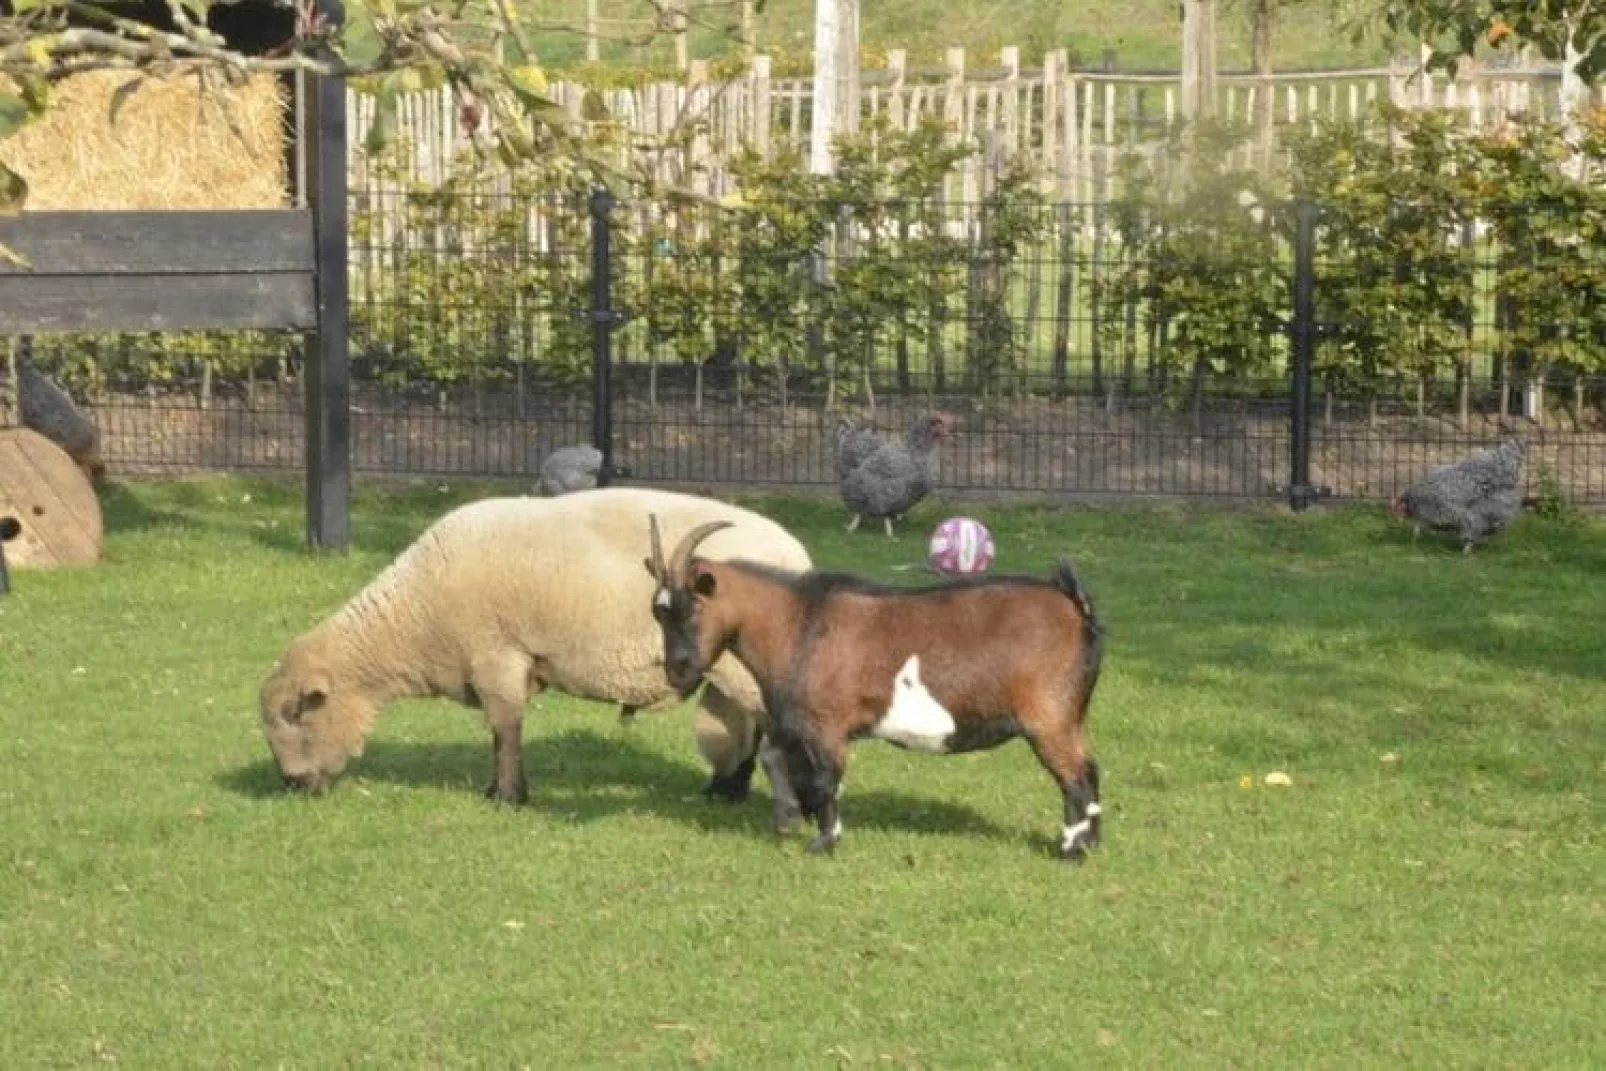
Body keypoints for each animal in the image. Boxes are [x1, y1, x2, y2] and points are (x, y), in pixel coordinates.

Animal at [264, 488, 815, 812]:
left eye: (296, 714)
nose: (292, 786)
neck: (414, 616)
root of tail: (799, 556)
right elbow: (501, 731)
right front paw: (500, 790)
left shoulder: (498, 653)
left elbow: (505, 729)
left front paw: (507, 797)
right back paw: (725, 791)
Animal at [642, 513, 1104, 860]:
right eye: (658, 612)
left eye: (693, 606)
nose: (678, 670)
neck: (798, 622)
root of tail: (1075, 606)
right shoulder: (796, 726)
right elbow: (782, 764)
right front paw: (791, 823)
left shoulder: (827, 727)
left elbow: (826, 781)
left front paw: (823, 843)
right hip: (1070, 718)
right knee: (1090, 771)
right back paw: (1090, 844)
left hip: (1049, 718)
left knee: (1076, 777)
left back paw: (1071, 850)